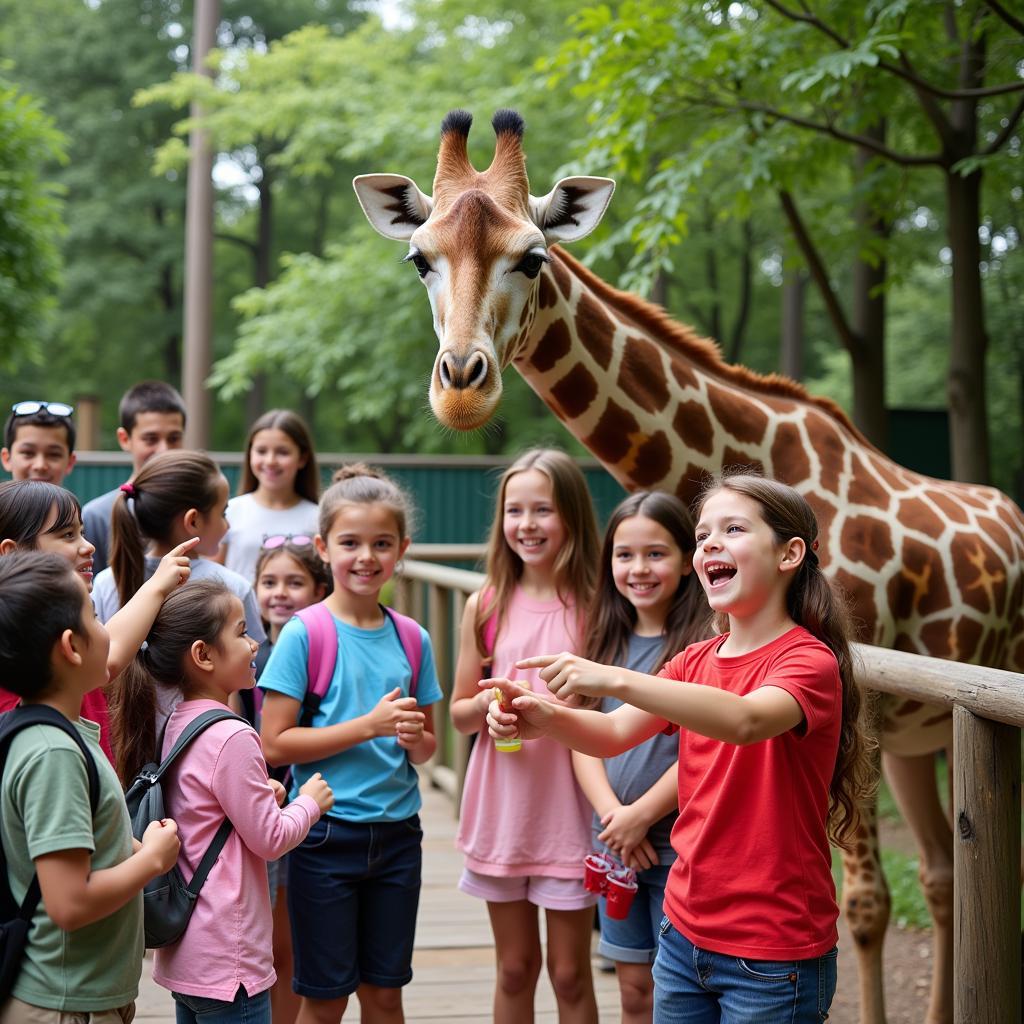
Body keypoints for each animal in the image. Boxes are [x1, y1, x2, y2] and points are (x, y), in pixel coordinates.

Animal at [354, 112, 1024, 1024]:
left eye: (533, 257)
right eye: (418, 257)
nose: (461, 386)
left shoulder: (855, 699)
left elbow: (861, 905)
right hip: (923, 737)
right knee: (945, 872)